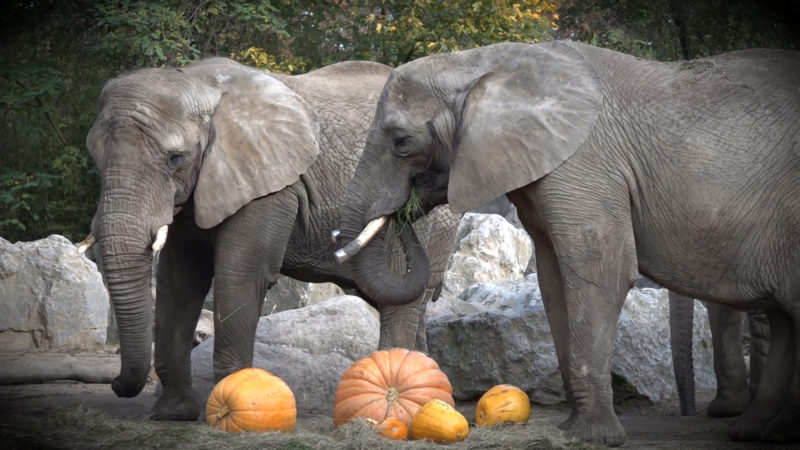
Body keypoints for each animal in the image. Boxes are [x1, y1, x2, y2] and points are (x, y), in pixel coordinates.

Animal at [81, 57, 460, 422]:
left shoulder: (271, 186)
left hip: (435, 224)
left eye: (175, 159)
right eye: (96, 159)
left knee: (400, 303)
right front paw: (172, 414)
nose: (115, 384)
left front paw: (228, 407)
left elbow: (241, 273)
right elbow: (180, 279)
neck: (197, 82)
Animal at [338, 39, 800, 446]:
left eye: (401, 141)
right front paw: (572, 431)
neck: (480, 62)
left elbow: (599, 272)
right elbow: (554, 280)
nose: (405, 208)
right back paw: (756, 431)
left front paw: (591, 438)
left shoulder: (583, 166)